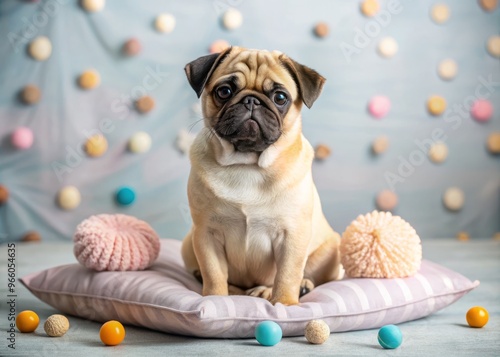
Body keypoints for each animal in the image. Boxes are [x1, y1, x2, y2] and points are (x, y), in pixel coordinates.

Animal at [182, 46, 342, 304]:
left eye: (280, 98)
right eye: (224, 91)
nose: (251, 100)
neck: (247, 164)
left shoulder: (292, 235)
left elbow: (287, 274)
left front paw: (284, 303)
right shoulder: (206, 233)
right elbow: (214, 273)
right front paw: (215, 299)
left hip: (329, 249)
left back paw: (286, 288)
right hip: (188, 244)